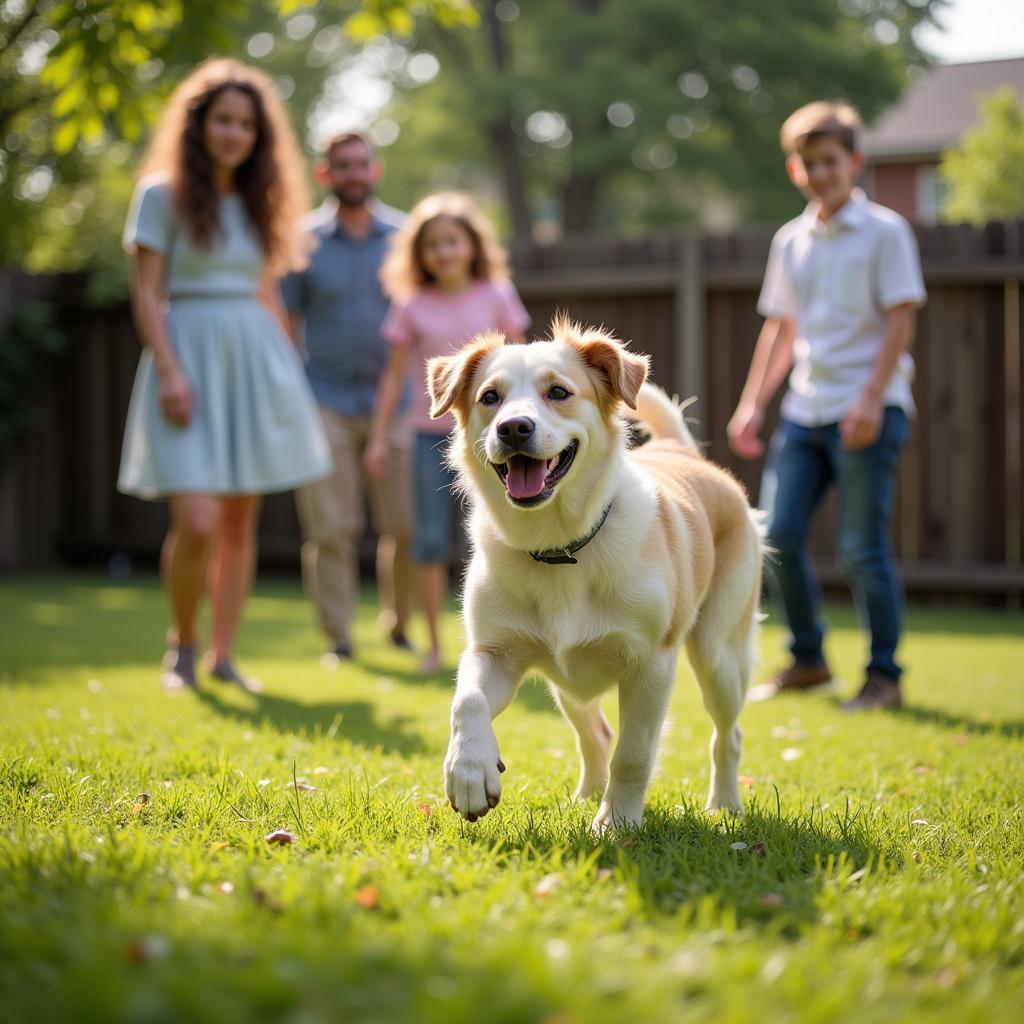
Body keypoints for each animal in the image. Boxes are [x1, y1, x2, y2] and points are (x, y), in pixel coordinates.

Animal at [428, 317, 765, 831]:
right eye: (490, 397)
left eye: (558, 392)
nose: (513, 427)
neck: (559, 547)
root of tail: (681, 452)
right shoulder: (494, 652)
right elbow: (468, 701)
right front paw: (468, 772)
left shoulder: (650, 666)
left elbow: (633, 754)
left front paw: (617, 822)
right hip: (564, 684)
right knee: (595, 734)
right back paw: (585, 795)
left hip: (718, 655)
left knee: (728, 735)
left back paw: (724, 804)